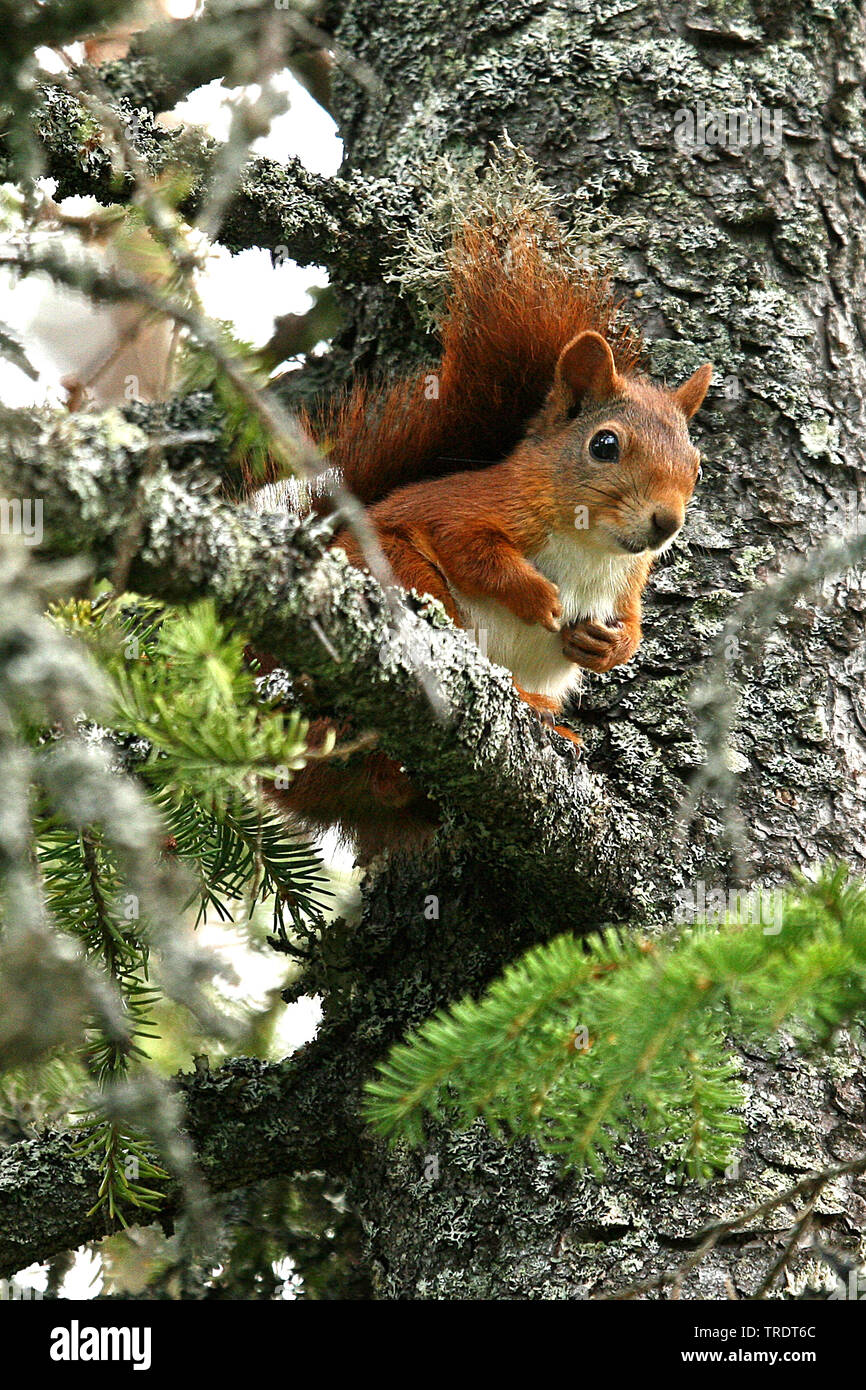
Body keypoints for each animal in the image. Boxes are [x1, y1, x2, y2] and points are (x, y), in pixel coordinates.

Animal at [258, 218, 717, 856]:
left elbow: (631, 623)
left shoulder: (630, 578)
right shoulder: (463, 511)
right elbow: (473, 551)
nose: (666, 523)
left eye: (697, 466)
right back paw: (529, 710)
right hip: (405, 581)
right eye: (604, 444)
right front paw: (541, 598)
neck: (591, 548)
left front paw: (609, 644)